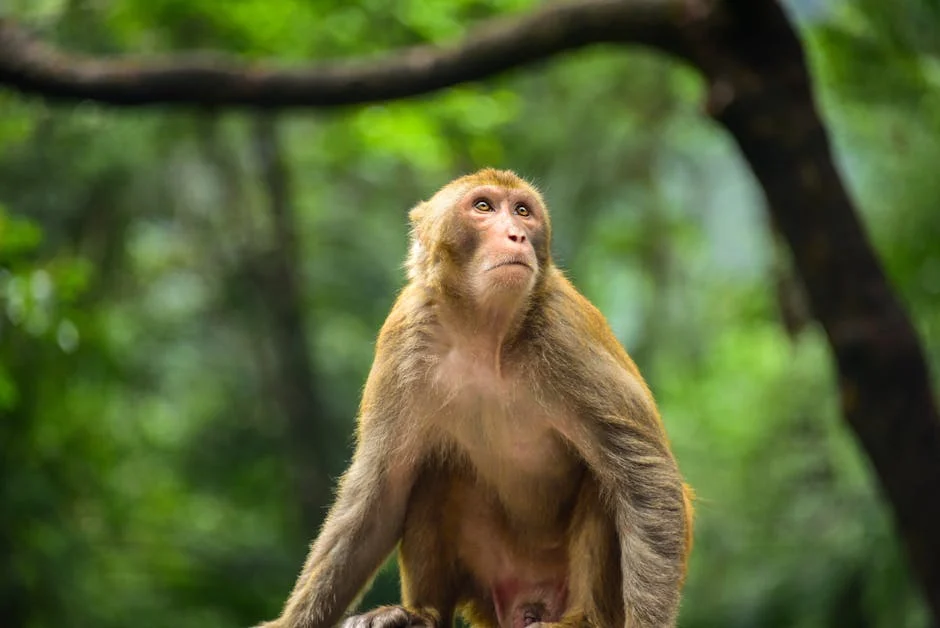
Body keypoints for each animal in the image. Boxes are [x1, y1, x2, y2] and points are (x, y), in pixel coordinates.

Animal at [257, 168, 694, 628]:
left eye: (522, 211)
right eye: (483, 207)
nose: (517, 235)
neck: (484, 334)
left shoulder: (565, 335)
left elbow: (645, 477)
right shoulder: (404, 335)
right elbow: (380, 492)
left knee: (603, 481)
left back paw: (582, 618)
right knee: (432, 473)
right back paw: (419, 612)